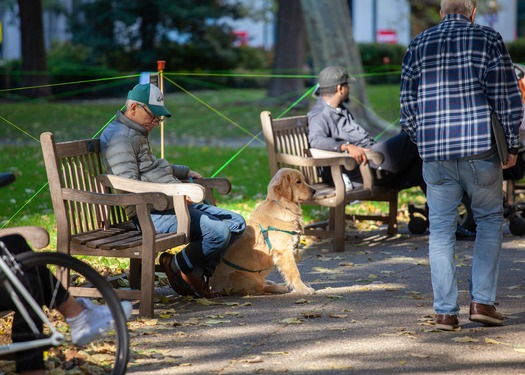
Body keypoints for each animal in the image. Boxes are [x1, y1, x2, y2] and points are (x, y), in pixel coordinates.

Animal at [209, 168, 316, 296]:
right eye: (298, 182)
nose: (315, 191)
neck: (283, 206)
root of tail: (212, 287)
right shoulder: (284, 251)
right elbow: (294, 272)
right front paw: (302, 289)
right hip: (249, 278)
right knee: (260, 289)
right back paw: (279, 288)